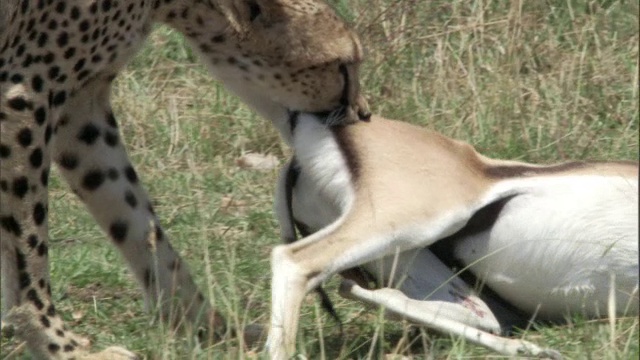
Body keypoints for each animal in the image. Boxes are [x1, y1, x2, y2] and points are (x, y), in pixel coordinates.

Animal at [0, 0, 370, 358]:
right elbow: (28, 247)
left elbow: (133, 215)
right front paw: (61, 347)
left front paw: (208, 326)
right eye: (342, 66)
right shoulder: (24, 94)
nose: (364, 114)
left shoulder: (81, 109)